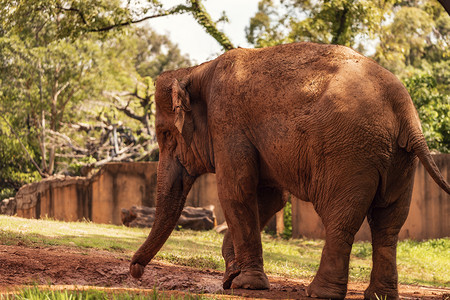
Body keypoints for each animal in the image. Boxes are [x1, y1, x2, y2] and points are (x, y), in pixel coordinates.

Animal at [127, 42, 450, 300]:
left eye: (166, 135)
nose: (135, 271)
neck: (198, 69)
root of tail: (404, 111)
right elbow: (270, 198)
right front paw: (232, 276)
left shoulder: (227, 121)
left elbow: (236, 190)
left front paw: (245, 284)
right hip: (398, 159)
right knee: (388, 223)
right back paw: (379, 295)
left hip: (349, 154)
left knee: (340, 219)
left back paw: (318, 293)